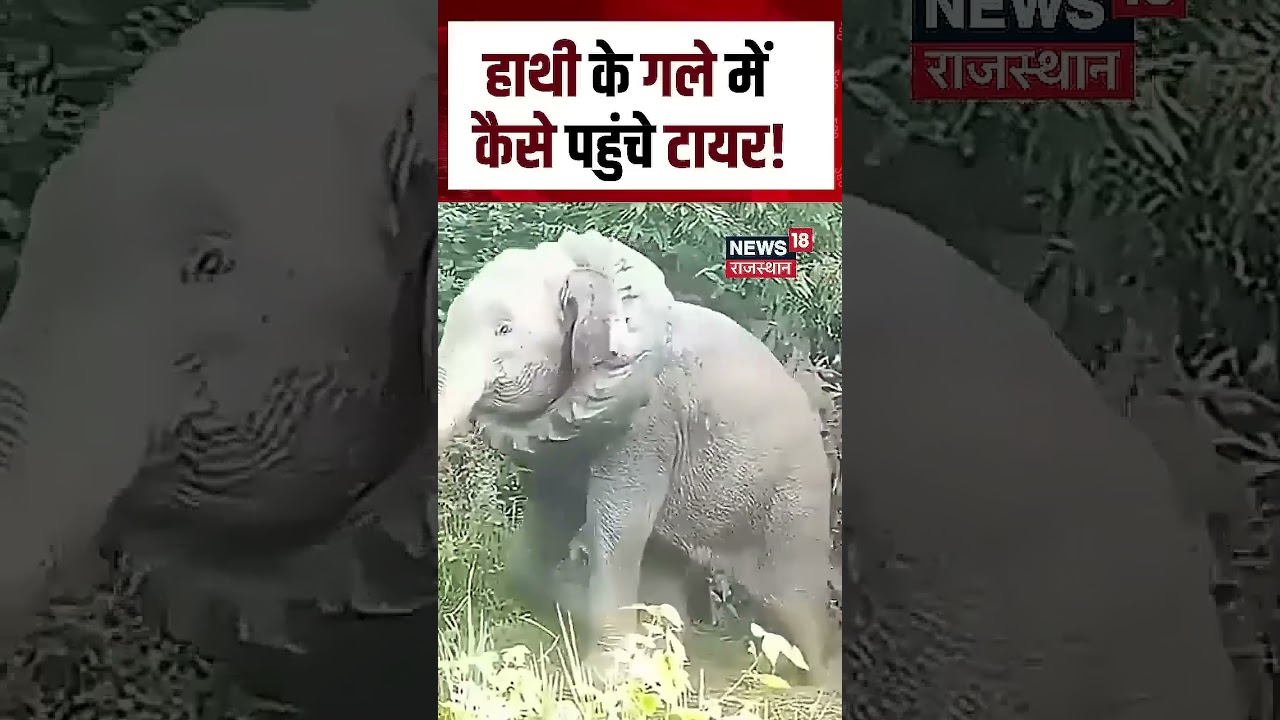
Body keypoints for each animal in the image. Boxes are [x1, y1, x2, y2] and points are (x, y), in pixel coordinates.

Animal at [436, 230, 837, 681]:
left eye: (503, 329)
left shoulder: (650, 422)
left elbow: (616, 524)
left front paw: (604, 672)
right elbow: (551, 512)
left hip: (794, 501)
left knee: (793, 600)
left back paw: (815, 677)